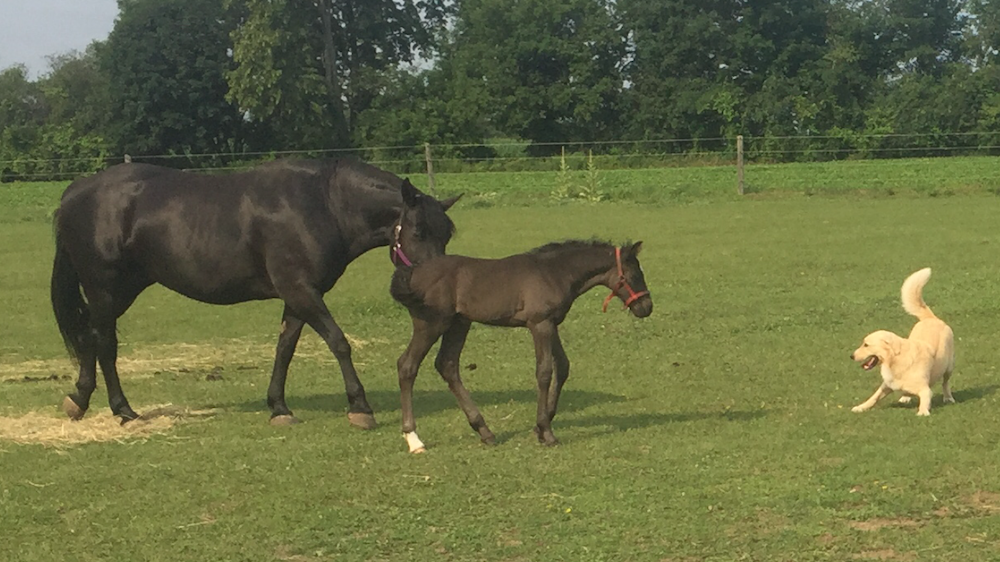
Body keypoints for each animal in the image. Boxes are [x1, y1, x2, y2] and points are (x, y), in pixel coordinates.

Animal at [50, 158, 458, 428]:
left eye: (448, 233)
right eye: (418, 231)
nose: (438, 286)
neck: (323, 203)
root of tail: (76, 191)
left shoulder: (297, 295)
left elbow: (285, 349)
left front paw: (279, 407)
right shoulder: (301, 290)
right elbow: (338, 342)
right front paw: (360, 407)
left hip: (123, 290)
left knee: (90, 335)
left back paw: (80, 400)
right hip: (105, 289)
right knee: (104, 342)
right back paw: (123, 410)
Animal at [389, 239, 653, 452]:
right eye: (634, 275)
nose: (647, 307)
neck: (553, 273)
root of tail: (412, 272)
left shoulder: (551, 324)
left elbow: (563, 366)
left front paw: (541, 426)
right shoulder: (539, 324)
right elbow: (544, 371)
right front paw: (547, 432)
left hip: (459, 324)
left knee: (447, 365)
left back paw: (485, 431)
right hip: (432, 324)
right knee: (407, 365)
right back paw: (414, 439)